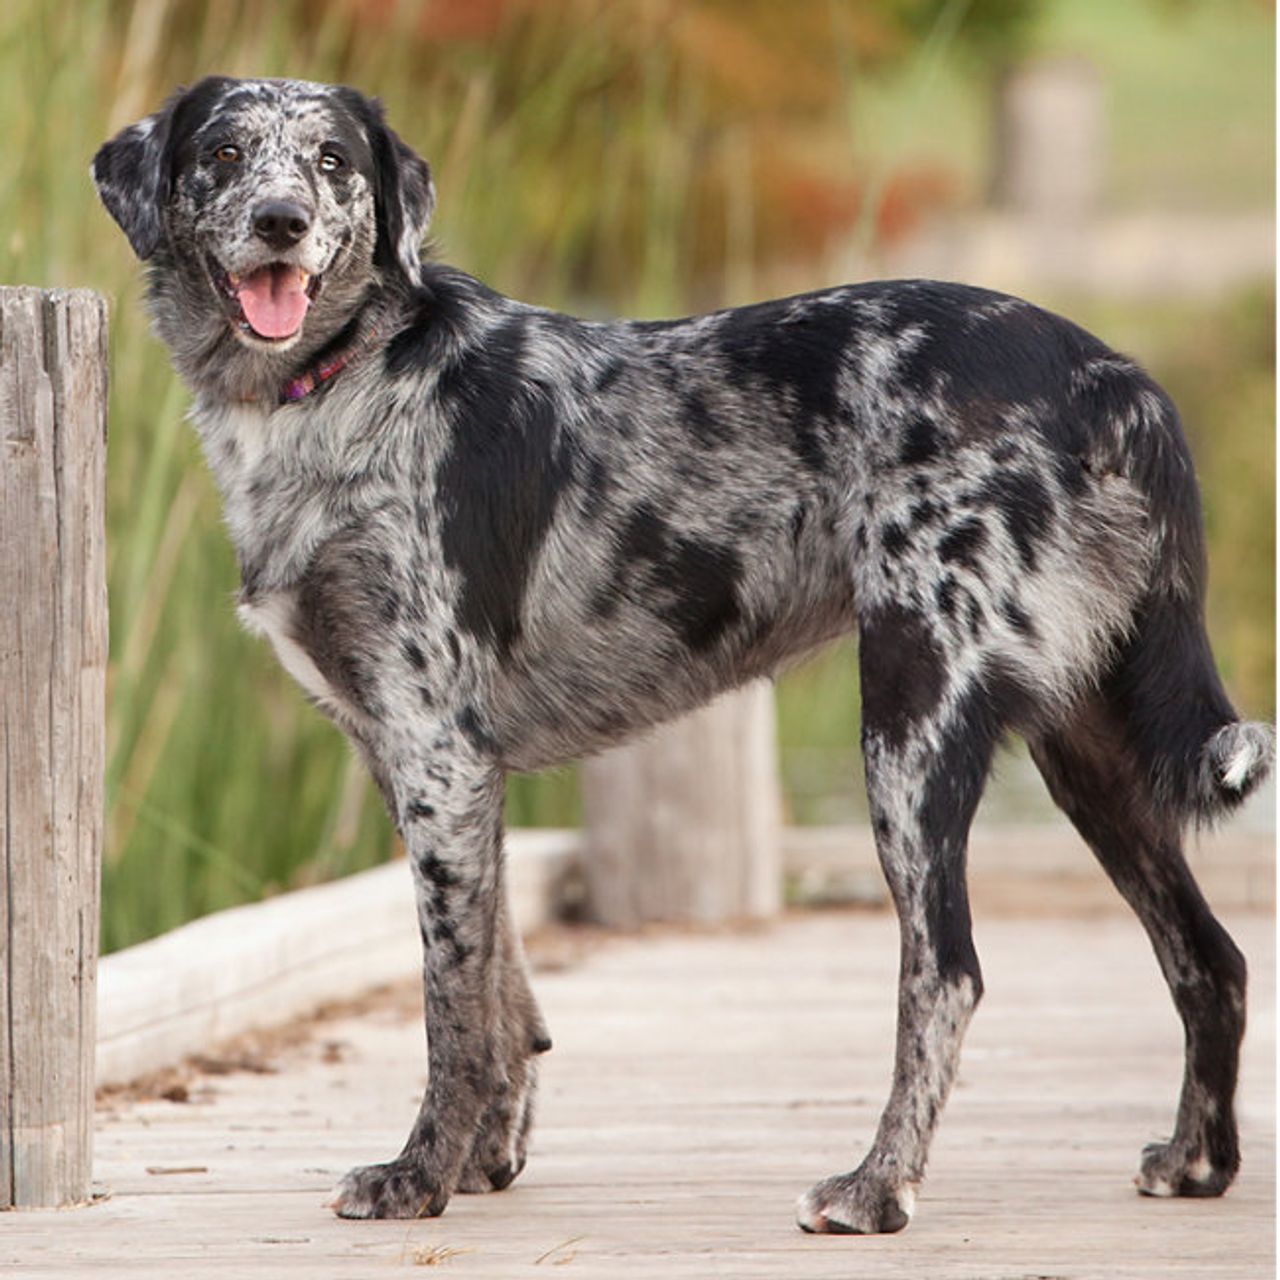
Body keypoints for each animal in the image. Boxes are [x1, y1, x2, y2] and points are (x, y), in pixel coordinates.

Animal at [92, 77, 1280, 1228]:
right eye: (224, 155)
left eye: (332, 160)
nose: (280, 223)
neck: (344, 382)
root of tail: (1112, 377)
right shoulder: (425, 759)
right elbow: (504, 980)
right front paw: (485, 1157)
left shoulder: (435, 748)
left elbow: (451, 1002)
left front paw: (418, 1175)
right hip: (1088, 750)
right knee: (1206, 956)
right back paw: (1194, 1160)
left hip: (911, 718)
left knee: (946, 972)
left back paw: (874, 1187)